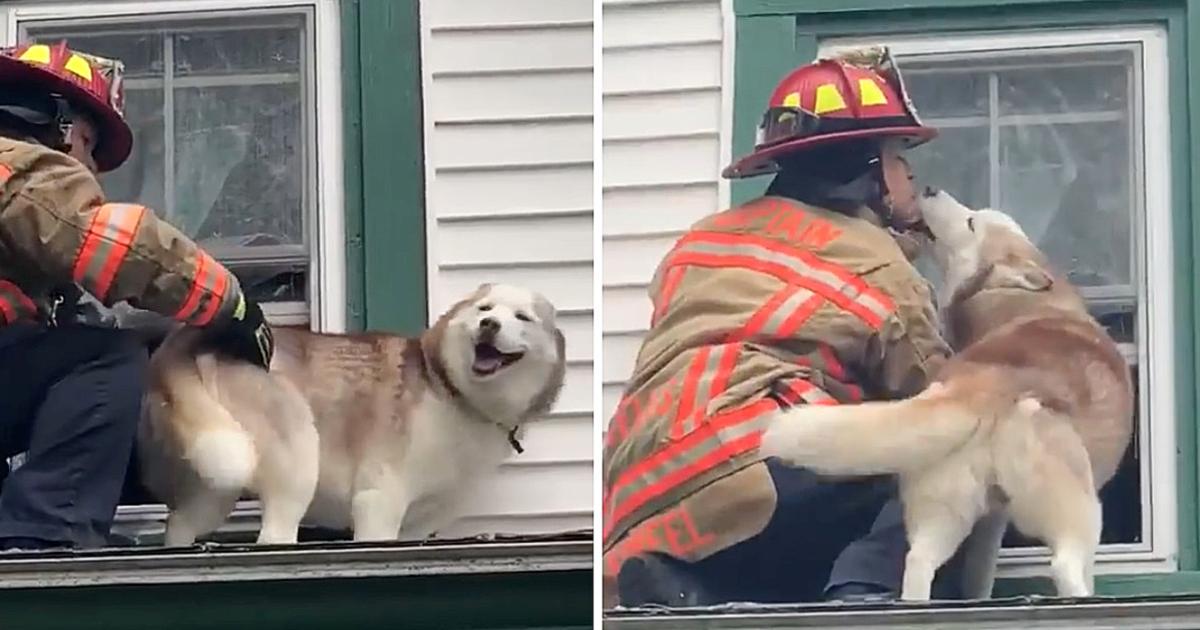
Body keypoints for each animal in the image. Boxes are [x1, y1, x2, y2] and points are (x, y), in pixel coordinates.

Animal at [133, 282, 564, 542]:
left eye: (523, 317)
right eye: (485, 308)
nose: (489, 325)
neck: (453, 393)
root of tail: (189, 339)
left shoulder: (416, 525)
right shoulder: (378, 501)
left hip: (215, 481)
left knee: (181, 524)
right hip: (297, 455)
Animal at [758, 188, 1132, 600]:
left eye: (970, 222)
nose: (928, 189)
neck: (1012, 295)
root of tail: (980, 384)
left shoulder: (991, 521)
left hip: (946, 506)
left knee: (918, 561)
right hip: (1077, 508)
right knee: (1066, 563)